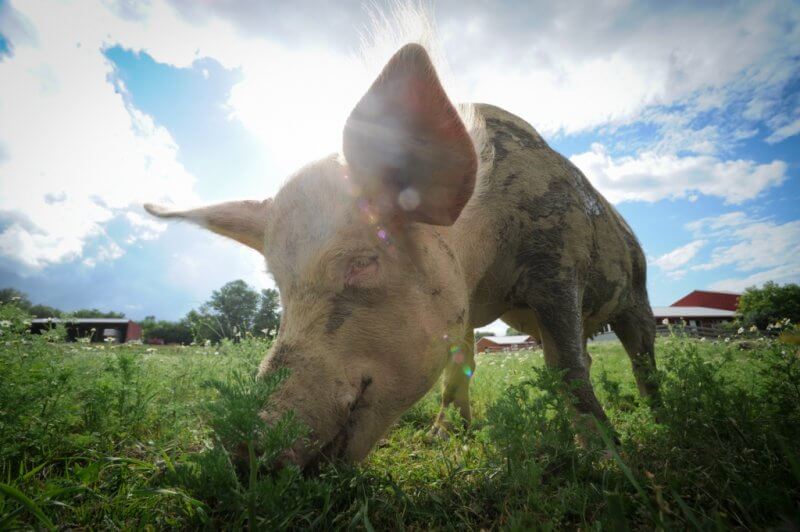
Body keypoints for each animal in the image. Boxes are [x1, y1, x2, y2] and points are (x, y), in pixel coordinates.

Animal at [147, 41, 660, 466]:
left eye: (362, 262)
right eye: (279, 285)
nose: (239, 448)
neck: (485, 272)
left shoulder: (557, 265)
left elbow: (566, 369)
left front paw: (611, 463)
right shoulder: (462, 304)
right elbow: (459, 366)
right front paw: (444, 437)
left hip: (637, 290)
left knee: (638, 354)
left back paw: (660, 414)